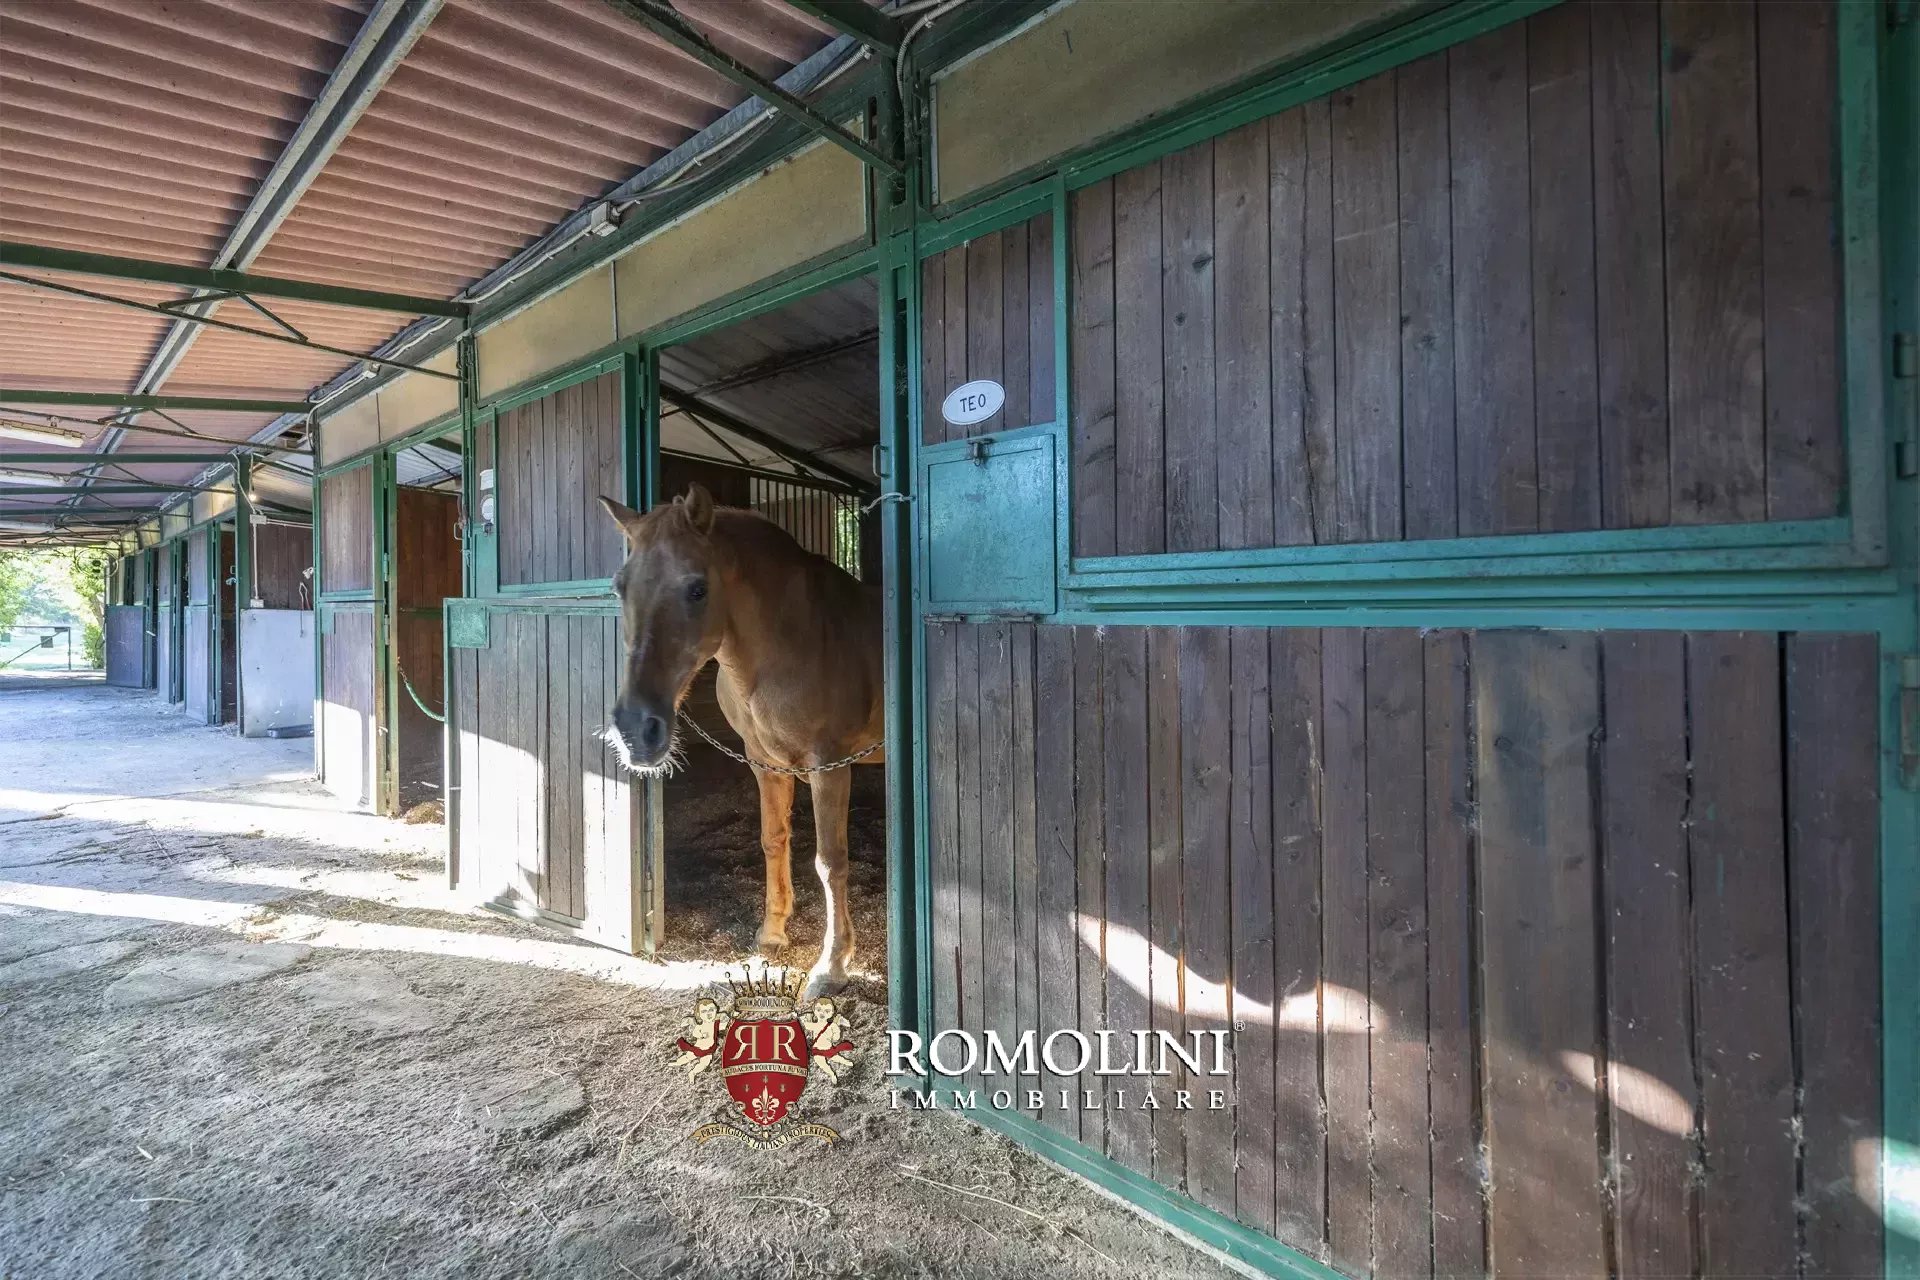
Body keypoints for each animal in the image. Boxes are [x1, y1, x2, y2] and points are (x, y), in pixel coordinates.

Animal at [597, 483, 883, 998]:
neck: (792, 642)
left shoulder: (829, 765)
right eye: (619, 587)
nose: (635, 729)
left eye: (697, 588)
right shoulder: (762, 761)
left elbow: (831, 860)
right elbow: (773, 839)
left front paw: (830, 966)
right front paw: (773, 933)